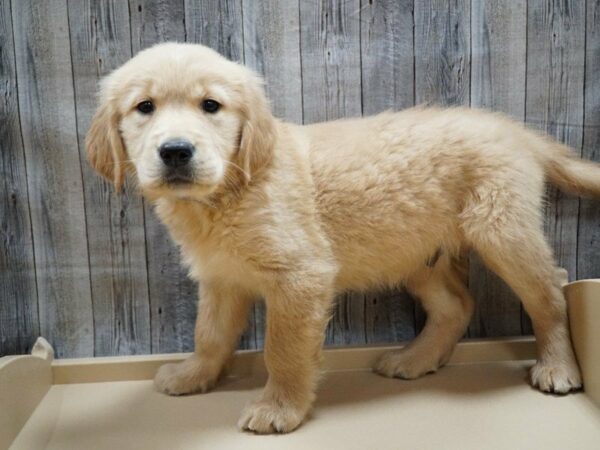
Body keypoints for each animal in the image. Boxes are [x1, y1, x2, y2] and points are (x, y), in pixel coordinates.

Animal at [86, 42, 596, 432]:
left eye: (210, 106)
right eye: (144, 107)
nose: (175, 151)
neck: (230, 190)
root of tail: (516, 130)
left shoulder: (300, 276)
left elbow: (282, 349)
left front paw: (278, 409)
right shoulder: (220, 278)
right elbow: (209, 334)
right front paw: (194, 375)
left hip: (501, 230)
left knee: (551, 291)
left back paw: (557, 366)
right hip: (415, 251)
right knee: (456, 305)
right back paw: (415, 360)